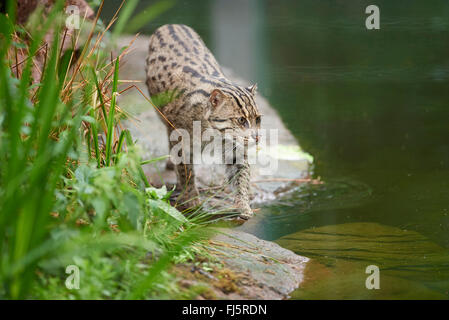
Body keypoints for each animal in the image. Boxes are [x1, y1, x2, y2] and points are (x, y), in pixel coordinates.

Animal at [145, 23, 260, 219]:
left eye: (258, 119)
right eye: (241, 120)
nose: (257, 138)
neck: (213, 133)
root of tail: (172, 24)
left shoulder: (234, 147)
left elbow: (241, 174)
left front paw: (243, 204)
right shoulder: (180, 138)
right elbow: (186, 171)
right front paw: (191, 199)